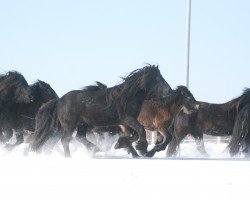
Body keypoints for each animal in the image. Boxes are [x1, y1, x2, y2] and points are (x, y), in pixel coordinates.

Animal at [29, 65, 174, 157]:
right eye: (157, 78)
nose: (170, 91)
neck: (128, 96)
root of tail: (59, 101)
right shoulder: (127, 119)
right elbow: (141, 132)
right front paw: (142, 149)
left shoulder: (126, 123)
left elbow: (134, 135)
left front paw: (121, 144)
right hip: (70, 125)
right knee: (65, 140)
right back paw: (69, 156)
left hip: (83, 124)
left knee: (79, 137)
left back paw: (96, 149)